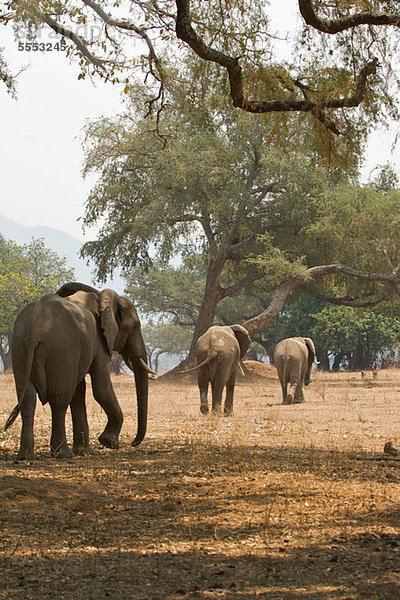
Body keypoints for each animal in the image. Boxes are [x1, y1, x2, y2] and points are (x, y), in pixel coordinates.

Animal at [4, 282, 155, 460]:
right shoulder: (99, 342)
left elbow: (79, 391)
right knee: (60, 400)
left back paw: (26, 456)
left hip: (19, 347)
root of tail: (34, 328)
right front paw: (109, 442)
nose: (133, 443)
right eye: (134, 326)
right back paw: (63, 454)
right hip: (61, 348)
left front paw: (86, 451)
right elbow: (101, 388)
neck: (101, 296)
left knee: (28, 398)